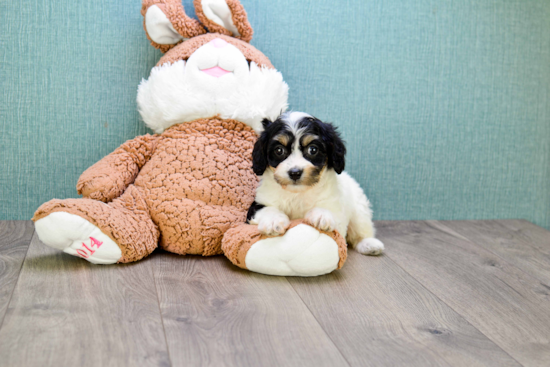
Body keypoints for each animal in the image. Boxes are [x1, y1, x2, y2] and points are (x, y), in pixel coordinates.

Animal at [248, 111, 386, 256]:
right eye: (279, 150)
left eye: (313, 150)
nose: (295, 172)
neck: (297, 193)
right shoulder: (259, 201)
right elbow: (266, 208)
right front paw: (273, 220)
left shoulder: (336, 207)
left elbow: (330, 212)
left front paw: (321, 215)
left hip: (359, 209)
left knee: (361, 229)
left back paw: (369, 244)